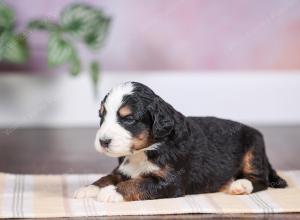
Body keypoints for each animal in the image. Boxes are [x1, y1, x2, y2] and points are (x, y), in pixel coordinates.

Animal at [74, 82, 288, 203]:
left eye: (128, 118)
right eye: (101, 115)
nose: (103, 141)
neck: (146, 149)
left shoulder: (171, 180)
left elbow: (138, 183)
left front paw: (111, 192)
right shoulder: (124, 170)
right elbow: (107, 177)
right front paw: (89, 188)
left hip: (253, 149)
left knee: (260, 179)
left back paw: (240, 185)